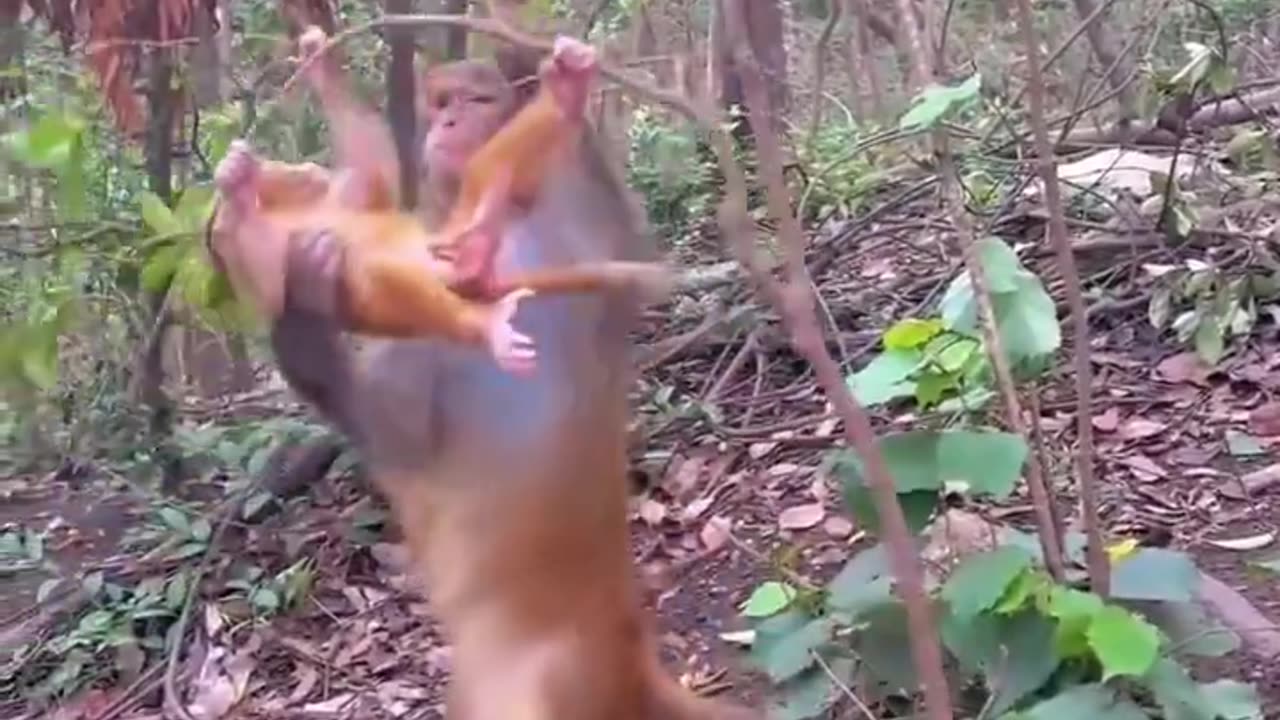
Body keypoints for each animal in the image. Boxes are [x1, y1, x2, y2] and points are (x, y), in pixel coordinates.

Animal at [204, 23, 752, 717]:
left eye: (475, 99)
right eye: (441, 103)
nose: (450, 118)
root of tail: (624, 662)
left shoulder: (570, 236)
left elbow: (378, 176)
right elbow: (396, 433)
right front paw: (292, 265)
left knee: (480, 207)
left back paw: (547, 129)